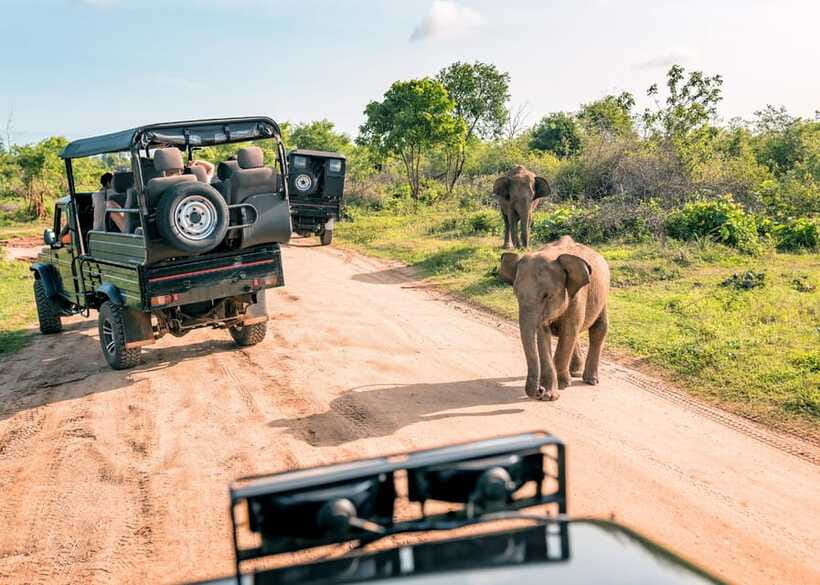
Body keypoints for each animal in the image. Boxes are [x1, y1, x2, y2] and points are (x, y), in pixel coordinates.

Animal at [499, 235, 610, 401]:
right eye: (516, 294)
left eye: (546, 295)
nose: (539, 390)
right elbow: (543, 335)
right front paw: (550, 394)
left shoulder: (577, 296)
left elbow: (568, 331)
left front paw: (561, 386)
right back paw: (575, 372)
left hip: (602, 296)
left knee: (598, 329)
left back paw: (589, 380)